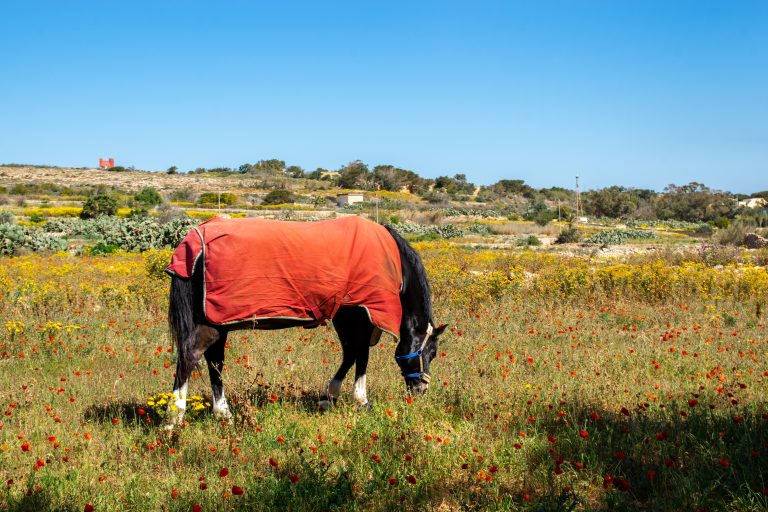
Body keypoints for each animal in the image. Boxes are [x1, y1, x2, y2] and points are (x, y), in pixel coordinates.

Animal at [165, 216, 448, 428]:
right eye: (430, 353)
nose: (421, 390)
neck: (392, 259)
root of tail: (194, 241)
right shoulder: (359, 313)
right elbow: (360, 355)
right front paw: (360, 400)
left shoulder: (342, 314)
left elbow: (349, 353)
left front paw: (328, 397)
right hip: (210, 325)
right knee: (189, 357)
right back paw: (174, 417)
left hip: (219, 323)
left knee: (214, 361)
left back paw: (223, 413)